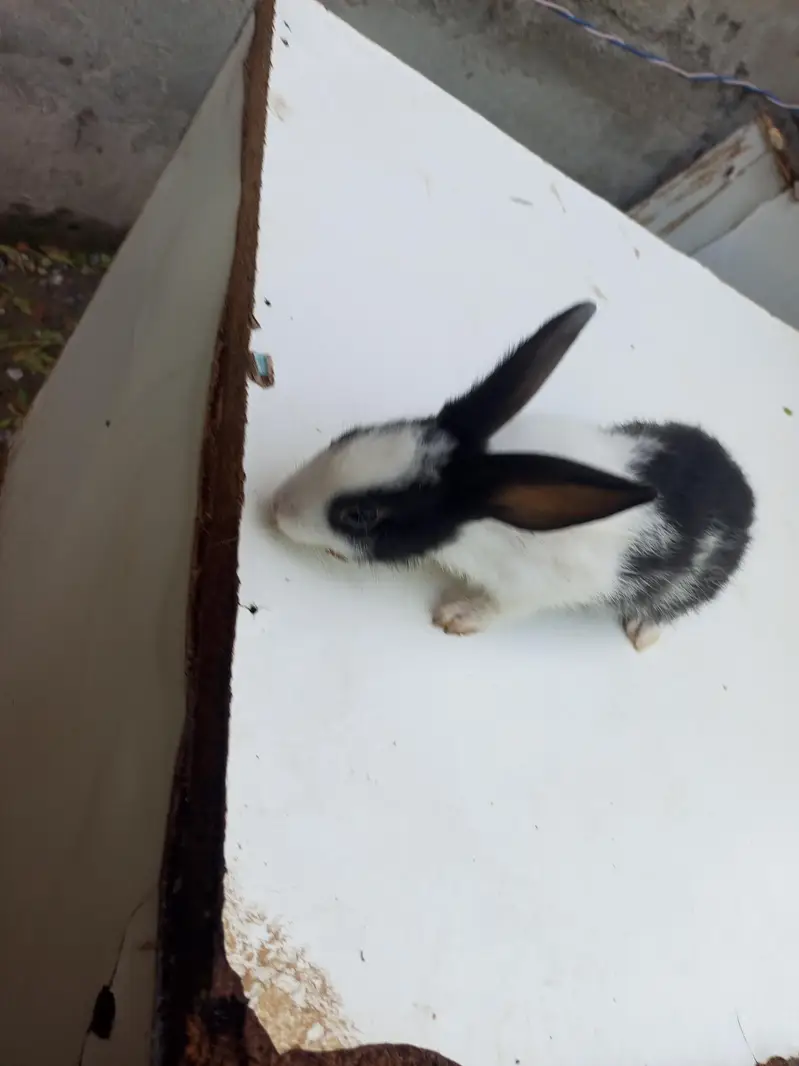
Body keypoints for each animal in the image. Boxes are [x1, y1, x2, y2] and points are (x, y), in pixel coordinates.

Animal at [268, 301, 755, 650]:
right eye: (351, 434)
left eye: (361, 515)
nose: (277, 508)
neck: (483, 517)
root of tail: (743, 490)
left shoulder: (533, 588)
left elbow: (500, 610)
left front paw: (456, 617)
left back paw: (642, 632)